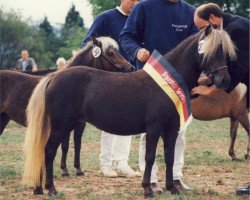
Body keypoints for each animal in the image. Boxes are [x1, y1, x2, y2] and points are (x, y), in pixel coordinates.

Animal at [0, 36, 135, 175]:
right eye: (110, 53)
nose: (131, 68)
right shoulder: (66, 125)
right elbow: (65, 146)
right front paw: (65, 170)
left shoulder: (77, 124)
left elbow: (77, 144)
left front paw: (77, 169)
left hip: (3, 118)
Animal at [23, 26, 236, 197]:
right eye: (211, 51)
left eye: (225, 51)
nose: (224, 80)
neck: (167, 83)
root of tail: (54, 77)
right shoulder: (154, 128)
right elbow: (150, 157)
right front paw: (148, 189)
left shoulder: (171, 128)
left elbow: (169, 156)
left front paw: (172, 188)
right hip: (61, 126)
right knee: (48, 151)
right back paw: (51, 189)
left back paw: (39, 188)